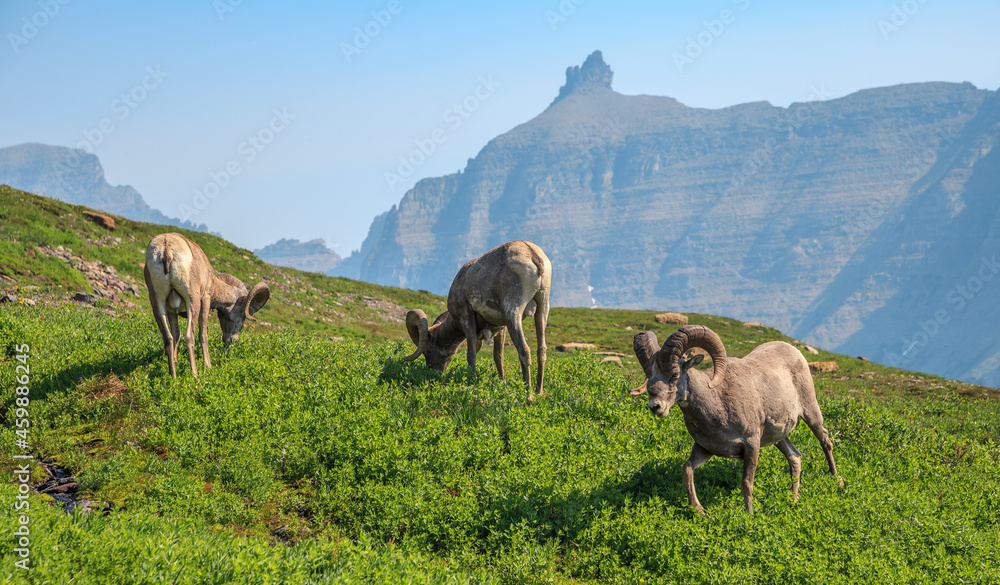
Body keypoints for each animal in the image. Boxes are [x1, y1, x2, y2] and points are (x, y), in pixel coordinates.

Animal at [143, 233, 271, 377]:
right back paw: (195, 374)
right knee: (190, 337)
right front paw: (208, 366)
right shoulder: (205, 301)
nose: (232, 341)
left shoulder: (171, 310)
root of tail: (166, 249)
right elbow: (203, 335)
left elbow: (176, 335)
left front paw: (175, 362)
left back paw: (173, 376)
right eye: (242, 317)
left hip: (158, 303)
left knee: (168, 338)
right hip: (192, 302)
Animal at [403, 240, 551, 400]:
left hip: (513, 311)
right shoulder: (501, 327)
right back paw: (539, 391)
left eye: (427, 351)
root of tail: (534, 256)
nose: (432, 372)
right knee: (541, 350)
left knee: (524, 349)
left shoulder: (466, 318)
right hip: (542, 306)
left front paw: (472, 382)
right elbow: (498, 356)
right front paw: (502, 383)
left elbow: (471, 354)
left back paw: (528, 393)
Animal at [631, 325, 839, 513]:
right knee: (795, 457)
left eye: (674, 374)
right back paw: (793, 500)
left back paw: (837, 480)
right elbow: (687, 469)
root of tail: (793, 350)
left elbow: (746, 483)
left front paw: (749, 515)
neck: (718, 403)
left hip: (811, 413)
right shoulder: (706, 448)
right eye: (649, 375)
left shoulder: (751, 445)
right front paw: (699, 510)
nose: (655, 407)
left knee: (825, 441)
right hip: (779, 437)